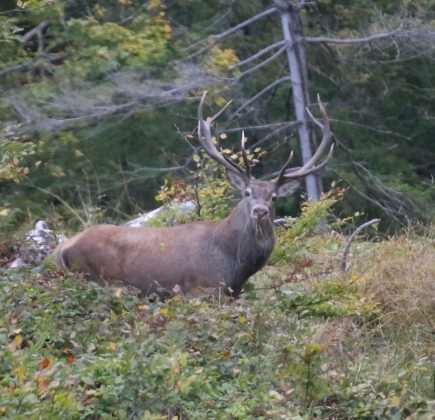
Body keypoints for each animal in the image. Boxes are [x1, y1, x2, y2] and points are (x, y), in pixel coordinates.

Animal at [51, 92, 334, 296]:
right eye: (246, 192)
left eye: (274, 197)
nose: (260, 211)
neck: (234, 265)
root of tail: (63, 249)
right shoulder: (202, 288)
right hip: (99, 279)